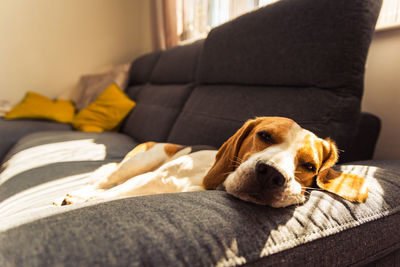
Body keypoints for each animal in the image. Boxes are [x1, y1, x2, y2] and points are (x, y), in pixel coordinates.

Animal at [54, 118, 368, 209]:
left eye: (310, 166)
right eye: (264, 136)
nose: (270, 175)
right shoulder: (149, 178)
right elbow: (107, 194)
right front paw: (82, 200)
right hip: (144, 161)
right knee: (106, 181)